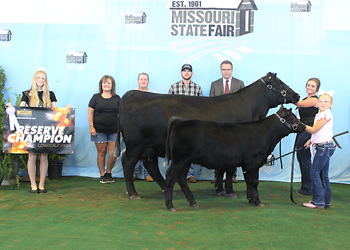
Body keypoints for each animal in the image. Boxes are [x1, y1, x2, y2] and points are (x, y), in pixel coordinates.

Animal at [115, 72, 300, 199]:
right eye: (279, 82)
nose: (297, 95)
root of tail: (131, 94)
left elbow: (222, 168)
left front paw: (219, 189)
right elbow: (229, 169)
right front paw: (229, 191)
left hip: (149, 146)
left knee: (150, 164)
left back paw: (166, 189)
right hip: (135, 143)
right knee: (128, 162)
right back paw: (133, 193)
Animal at [165, 107, 306, 211]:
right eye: (292, 117)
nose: (304, 126)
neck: (266, 133)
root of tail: (180, 122)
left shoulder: (246, 164)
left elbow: (249, 181)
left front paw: (251, 199)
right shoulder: (253, 162)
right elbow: (255, 181)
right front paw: (258, 201)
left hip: (186, 161)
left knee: (181, 178)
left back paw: (193, 202)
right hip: (179, 159)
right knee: (171, 175)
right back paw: (170, 205)